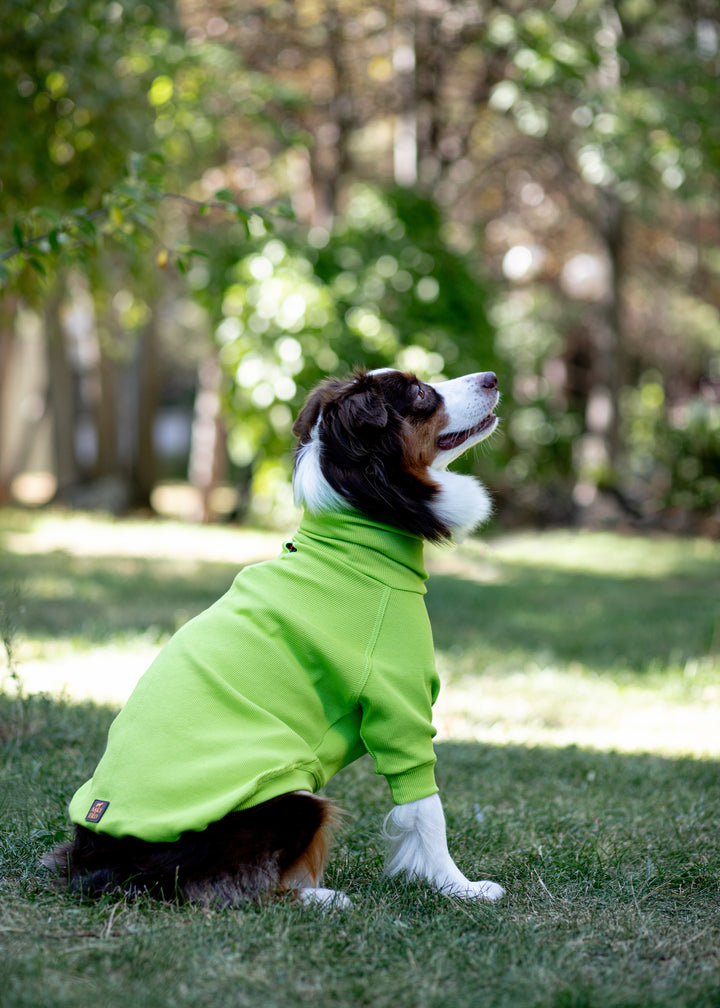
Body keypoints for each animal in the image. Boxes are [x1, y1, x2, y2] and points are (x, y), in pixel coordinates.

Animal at [43, 366, 504, 911]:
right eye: (417, 393)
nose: (492, 377)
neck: (360, 532)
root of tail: (106, 859)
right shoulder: (401, 709)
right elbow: (426, 809)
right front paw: (459, 887)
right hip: (294, 797)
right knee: (236, 888)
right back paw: (323, 897)